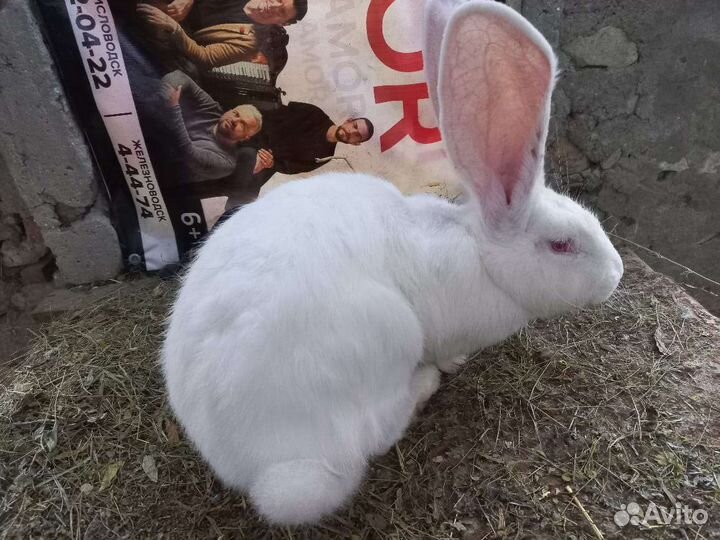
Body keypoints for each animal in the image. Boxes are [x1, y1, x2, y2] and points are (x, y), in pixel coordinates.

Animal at [161, 0, 624, 526]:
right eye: (562, 245)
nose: (616, 274)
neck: (481, 255)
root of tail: (246, 462)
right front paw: (452, 363)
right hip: (387, 334)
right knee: (372, 437)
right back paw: (423, 383)